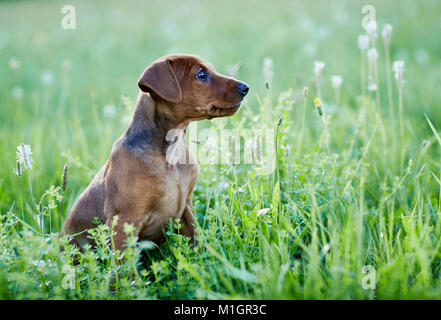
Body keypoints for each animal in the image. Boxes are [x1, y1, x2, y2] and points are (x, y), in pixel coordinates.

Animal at [60, 53, 249, 251]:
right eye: (201, 74)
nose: (246, 88)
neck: (170, 154)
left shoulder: (186, 208)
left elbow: (197, 243)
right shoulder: (125, 222)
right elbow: (125, 259)